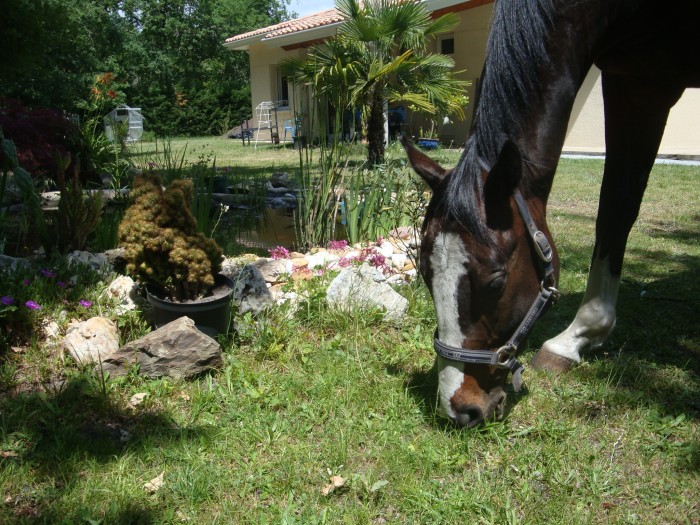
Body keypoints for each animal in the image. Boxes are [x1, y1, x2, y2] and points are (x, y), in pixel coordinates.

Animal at [402, 0, 700, 427]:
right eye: (425, 273)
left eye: (495, 282)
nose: (459, 409)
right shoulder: (629, 78)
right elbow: (615, 207)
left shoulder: (648, 85)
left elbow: (617, 207)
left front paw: (579, 334)